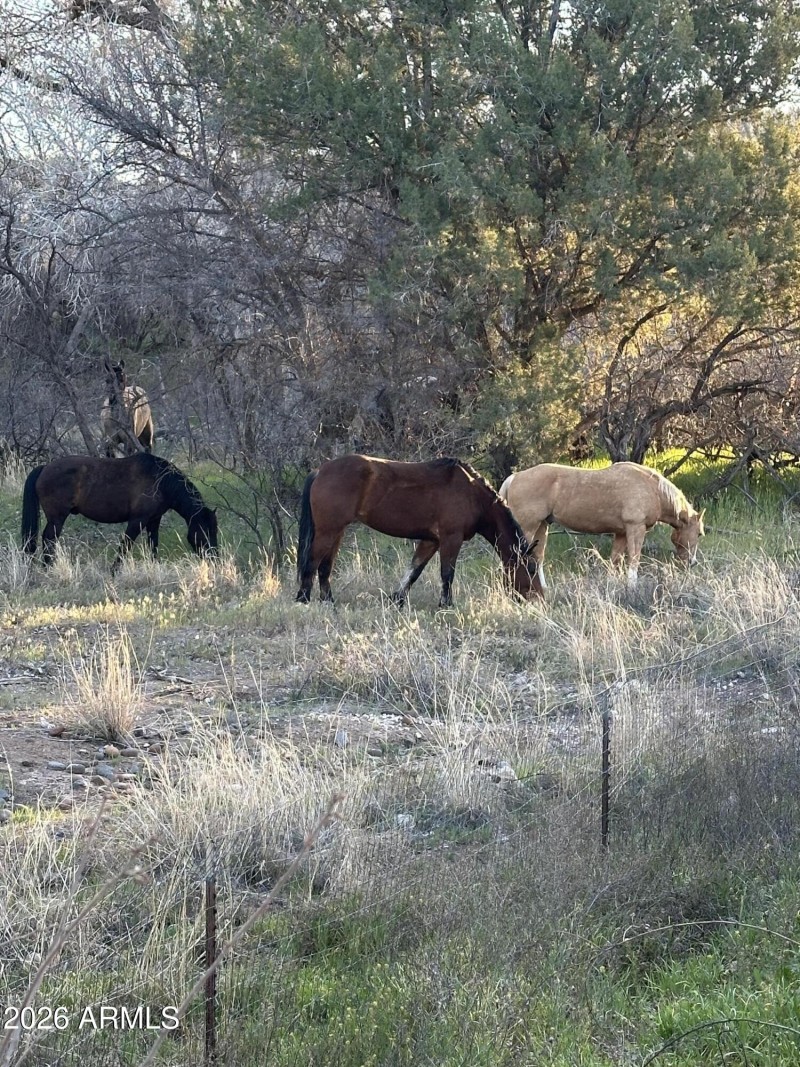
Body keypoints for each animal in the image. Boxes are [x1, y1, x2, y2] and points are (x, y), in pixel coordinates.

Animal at [21, 453, 218, 573]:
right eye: (204, 532)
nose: (214, 558)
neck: (160, 482)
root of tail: (45, 467)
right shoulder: (138, 520)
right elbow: (126, 545)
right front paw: (114, 571)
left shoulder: (154, 520)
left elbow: (152, 544)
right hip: (57, 518)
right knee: (49, 538)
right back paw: (48, 568)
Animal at [295, 454, 541, 607]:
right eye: (531, 569)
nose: (537, 599)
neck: (472, 494)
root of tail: (321, 470)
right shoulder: (451, 538)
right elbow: (447, 573)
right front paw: (446, 604)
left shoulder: (431, 540)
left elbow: (414, 570)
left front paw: (397, 599)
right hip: (328, 530)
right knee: (313, 562)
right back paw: (303, 599)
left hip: (336, 531)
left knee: (325, 566)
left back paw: (328, 600)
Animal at [499, 461, 705, 589]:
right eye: (700, 534)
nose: (692, 562)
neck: (653, 489)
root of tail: (515, 477)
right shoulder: (635, 528)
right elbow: (634, 560)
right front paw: (632, 587)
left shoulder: (621, 533)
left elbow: (615, 561)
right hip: (528, 527)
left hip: (542, 526)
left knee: (538, 558)